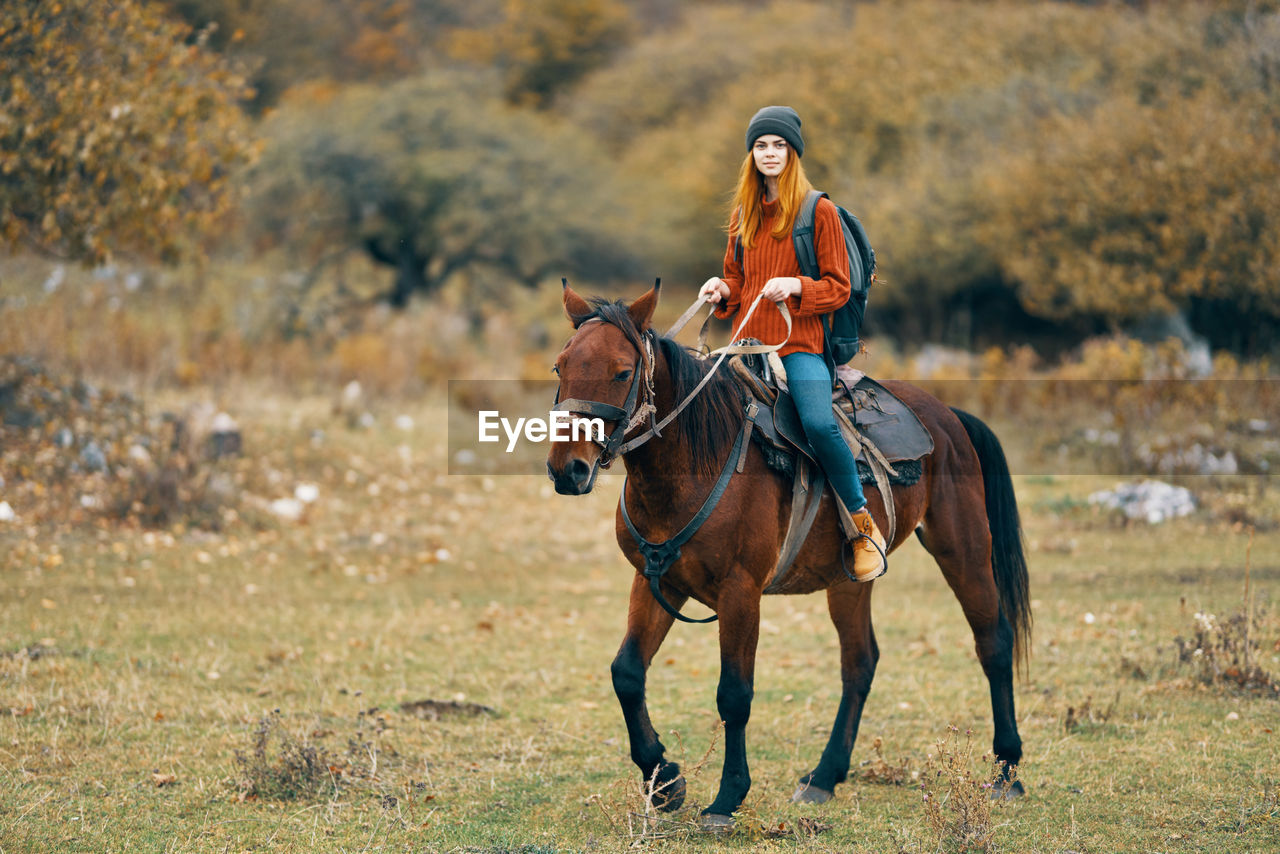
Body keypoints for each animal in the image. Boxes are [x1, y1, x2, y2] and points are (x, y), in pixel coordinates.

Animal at [547, 281, 1029, 829]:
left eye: (622, 372)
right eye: (560, 367)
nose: (568, 470)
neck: (697, 462)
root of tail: (948, 416)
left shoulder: (740, 593)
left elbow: (734, 695)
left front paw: (727, 798)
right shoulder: (657, 580)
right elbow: (626, 673)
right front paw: (666, 781)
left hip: (962, 547)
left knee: (993, 642)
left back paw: (1007, 771)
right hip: (849, 581)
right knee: (860, 661)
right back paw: (824, 776)